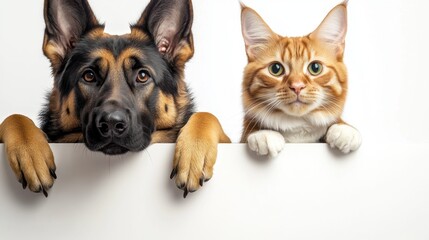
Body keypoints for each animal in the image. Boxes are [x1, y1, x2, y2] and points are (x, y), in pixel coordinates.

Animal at [0, 0, 231, 198]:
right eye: (89, 76)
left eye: (143, 75)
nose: (111, 123)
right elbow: (13, 117)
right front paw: (30, 154)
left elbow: (207, 116)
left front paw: (194, 155)